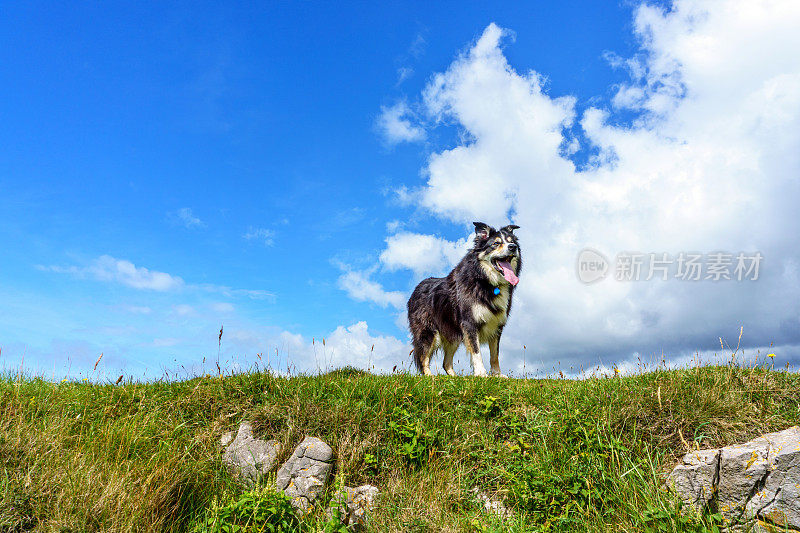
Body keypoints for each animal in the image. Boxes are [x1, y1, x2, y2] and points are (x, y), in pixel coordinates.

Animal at [406, 222, 524, 376]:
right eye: (496, 243)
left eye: (512, 241)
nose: (513, 247)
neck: (486, 281)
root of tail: (415, 290)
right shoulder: (469, 323)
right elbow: (476, 350)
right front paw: (481, 373)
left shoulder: (497, 325)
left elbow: (494, 354)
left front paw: (497, 374)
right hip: (429, 332)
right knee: (423, 359)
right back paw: (431, 377)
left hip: (453, 333)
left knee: (446, 363)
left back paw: (454, 378)